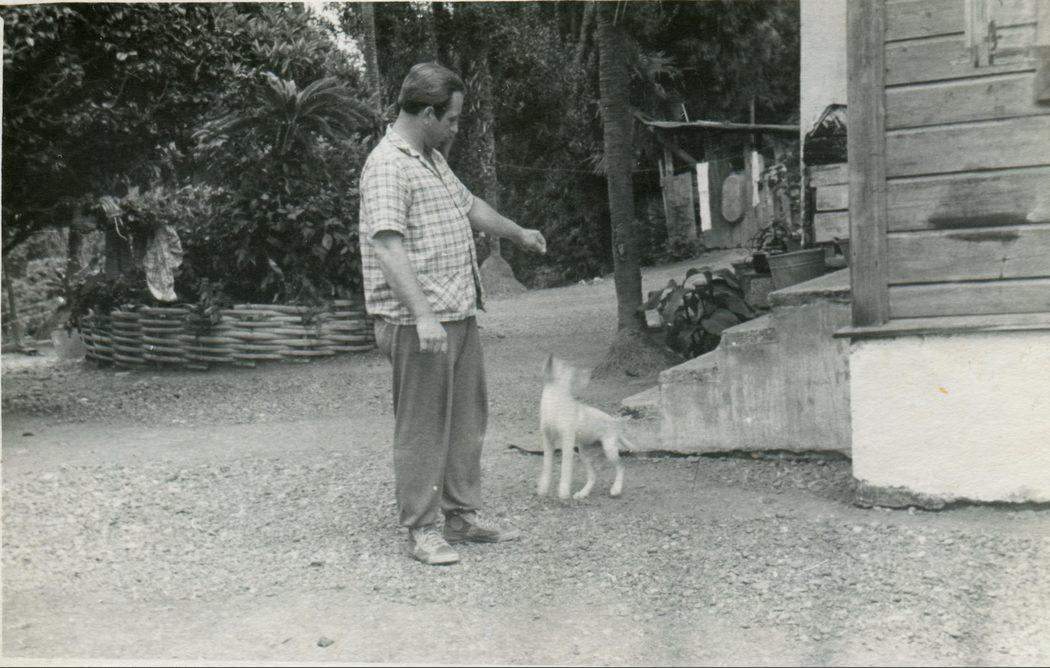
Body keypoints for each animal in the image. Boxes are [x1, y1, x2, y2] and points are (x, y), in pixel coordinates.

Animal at [538, 355, 637, 500]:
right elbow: (546, 466)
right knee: (593, 476)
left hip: (609, 450)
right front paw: (543, 489)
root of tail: (615, 424)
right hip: (584, 455)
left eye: (562, 364)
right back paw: (582, 493)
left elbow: (565, 468)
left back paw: (616, 489)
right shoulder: (548, 440)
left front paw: (563, 492)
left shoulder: (567, 441)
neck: (554, 401)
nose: (550, 356)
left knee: (621, 467)